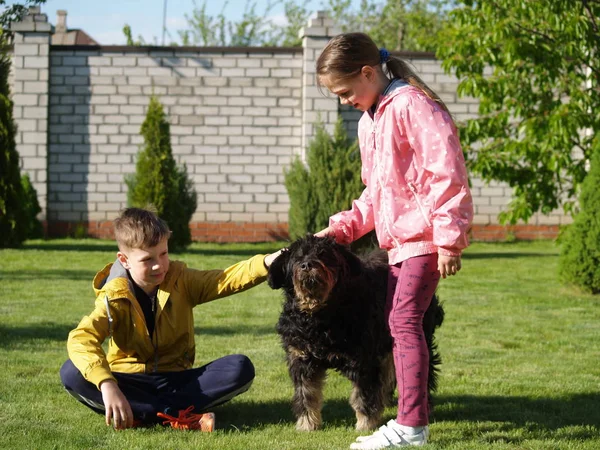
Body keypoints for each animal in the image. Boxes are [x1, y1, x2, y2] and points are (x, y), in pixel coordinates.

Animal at [268, 234, 446, 430]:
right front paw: (307, 423)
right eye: (298, 257)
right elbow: (306, 394)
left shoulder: (363, 360)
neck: (320, 317)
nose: (307, 265)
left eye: (324, 254)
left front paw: (366, 423)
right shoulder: (301, 359)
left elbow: (363, 394)